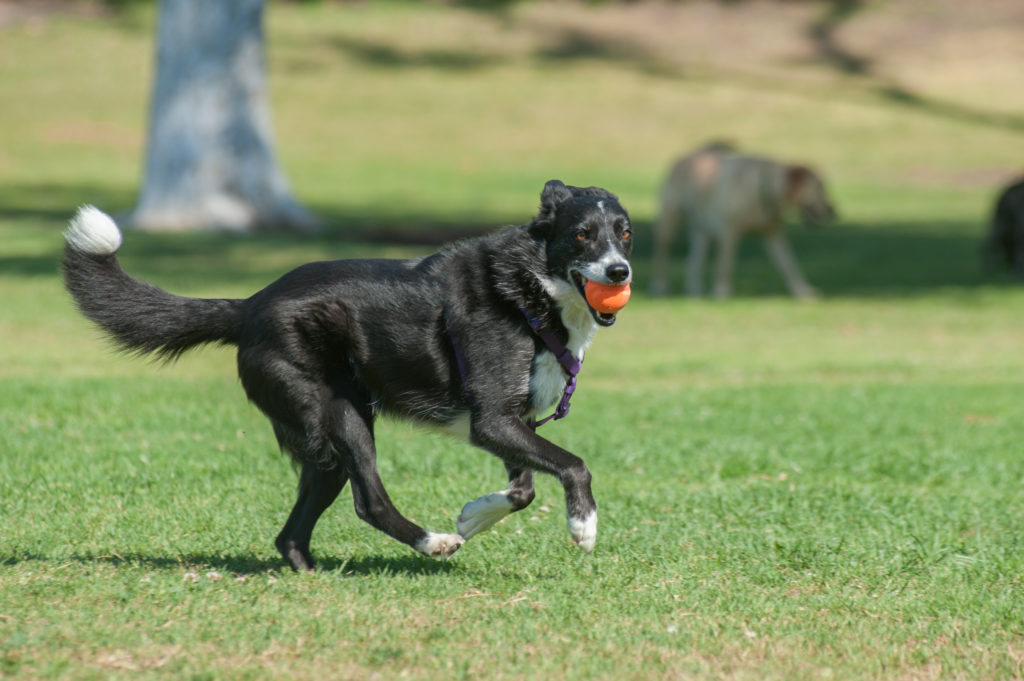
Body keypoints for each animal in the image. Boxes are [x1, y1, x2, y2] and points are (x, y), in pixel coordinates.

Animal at [61, 179, 630, 569]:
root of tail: (250, 306)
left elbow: (524, 487)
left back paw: (311, 571)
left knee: (294, 530)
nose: (620, 271)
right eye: (581, 235)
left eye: (624, 233)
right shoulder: (491, 419)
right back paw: (432, 542)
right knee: (369, 501)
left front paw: (475, 513)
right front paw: (583, 525)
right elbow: (573, 465)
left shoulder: (513, 421)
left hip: (324, 443)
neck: (531, 289)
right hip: (343, 414)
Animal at [651, 142, 835, 296]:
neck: (761, 189)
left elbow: (789, 264)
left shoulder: (773, 236)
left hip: (702, 232)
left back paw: (695, 291)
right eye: (819, 188)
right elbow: (725, 264)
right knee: (662, 254)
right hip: (670, 222)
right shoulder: (729, 234)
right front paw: (721, 292)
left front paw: (802, 291)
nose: (833, 211)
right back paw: (659, 287)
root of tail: (683, 158)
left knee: (693, 262)